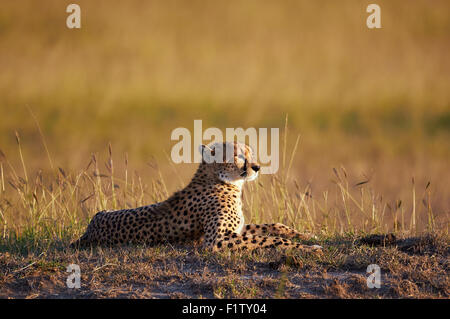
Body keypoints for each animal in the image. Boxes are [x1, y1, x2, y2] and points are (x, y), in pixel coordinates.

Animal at [72, 142, 322, 255]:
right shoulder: (217, 239)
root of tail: (89, 229)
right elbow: (268, 240)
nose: (257, 167)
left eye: (250, 153)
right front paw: (308, 248)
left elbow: (274, 226)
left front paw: (308, 236)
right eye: (238, 156)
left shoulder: (239, 228)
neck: (222, 181)